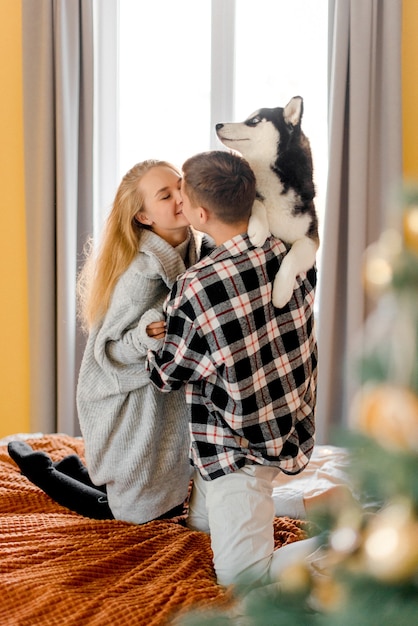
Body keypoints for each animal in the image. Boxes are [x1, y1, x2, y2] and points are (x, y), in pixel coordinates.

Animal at [217, 95, 318, 308]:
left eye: (254, 121)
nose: (218, 124)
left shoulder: (311, 239)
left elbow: (293, 257)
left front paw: (281, 292)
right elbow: (256, 201)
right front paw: (259, 229)